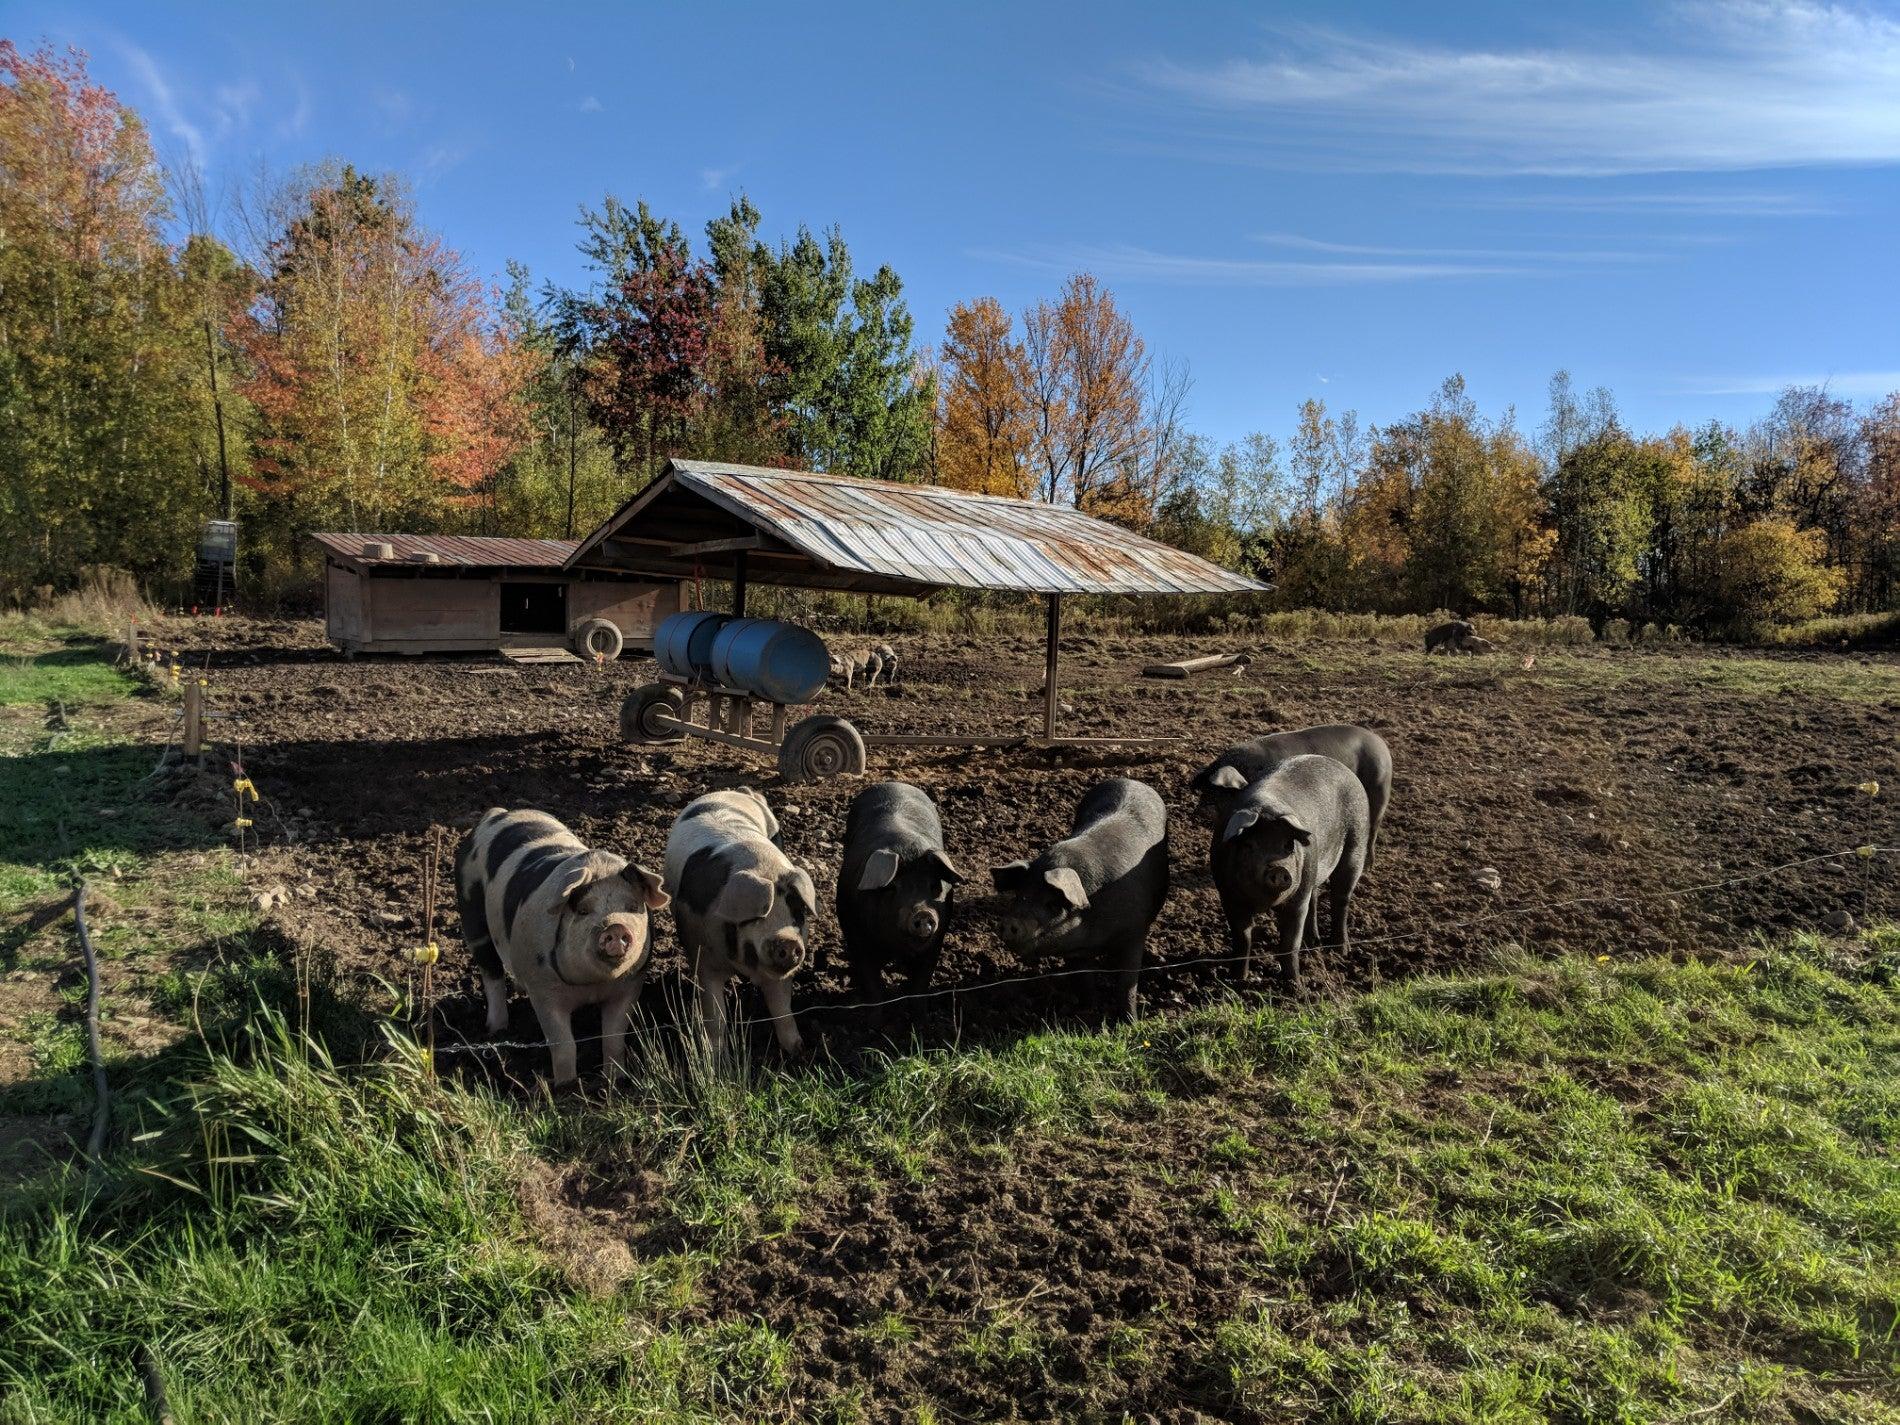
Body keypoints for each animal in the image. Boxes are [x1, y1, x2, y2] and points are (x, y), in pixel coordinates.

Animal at [456, 809, 672, 1086]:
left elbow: (613, 1038)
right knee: (490, 972)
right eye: (583, 910)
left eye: (633, 907)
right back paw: (496, 1029)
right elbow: (564, 1044)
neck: (592, 984)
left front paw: (614, 1080)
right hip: (471, 913)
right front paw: (566, 1086)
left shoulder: (629, 986)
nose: (615, 926)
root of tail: (498, 813)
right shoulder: (543, 990)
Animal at [661, 794, 817, 1064]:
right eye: (754, 918)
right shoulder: (704, 958)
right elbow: (715, 1015)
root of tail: (736, 791)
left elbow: (782, 1009)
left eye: (797, 911)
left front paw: (798, 1052)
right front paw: (715, 1061)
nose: (787, 941)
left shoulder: (781, 976)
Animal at [836, 782, 965, 1003]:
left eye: (934, 885)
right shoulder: (857, 938)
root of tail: (893, 782)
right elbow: (873, 986)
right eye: (892, 887)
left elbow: (920, 985)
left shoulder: (936, 943)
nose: (923, 912)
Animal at [1185, 725, 1398, 870]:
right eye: (1205, 789)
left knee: (1373, 828)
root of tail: (1381, 744)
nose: (1200, 810)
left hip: (1380, 789)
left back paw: (1368, 866)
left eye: (1221, 790)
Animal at [1208, 760, 1375, 980]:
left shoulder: (1297, 899)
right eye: (1248, 845)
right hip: (1313, 873)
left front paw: (1295, 983)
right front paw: (1237, 979)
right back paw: (1313, 943)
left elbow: (1289, 943)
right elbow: (1242, 940)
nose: (1278, 868)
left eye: (1288, 845)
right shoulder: (1228, 897)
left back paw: (1340, 951)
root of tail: (1345, 770)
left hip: (1356, 845)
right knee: (1316, 898)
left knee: (1341, 899)